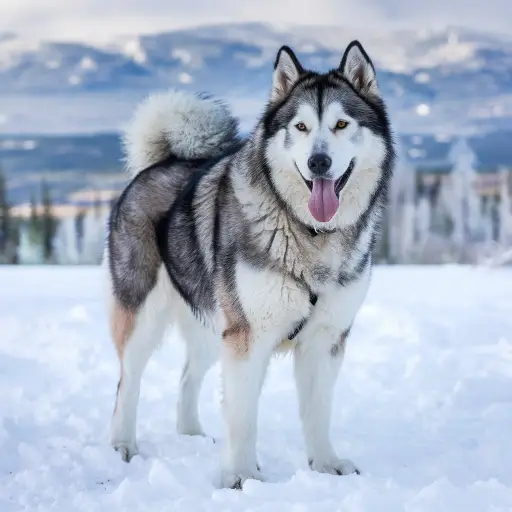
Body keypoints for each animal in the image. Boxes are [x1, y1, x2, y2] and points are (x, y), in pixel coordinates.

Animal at [106, 40, 396, 488]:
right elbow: (242, 417)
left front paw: (326, 465)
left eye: (341, 124)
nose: (318, 162)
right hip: (146, 314)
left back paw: (191, 434)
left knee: (188, 375)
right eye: (300, 127)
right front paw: (241, 477)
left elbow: (318, 411)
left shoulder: (325, 338)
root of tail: (160, 163)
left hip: (212, 323)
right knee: (128, 381)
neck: (310, 233)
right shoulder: (247, 336)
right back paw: (123, 445)